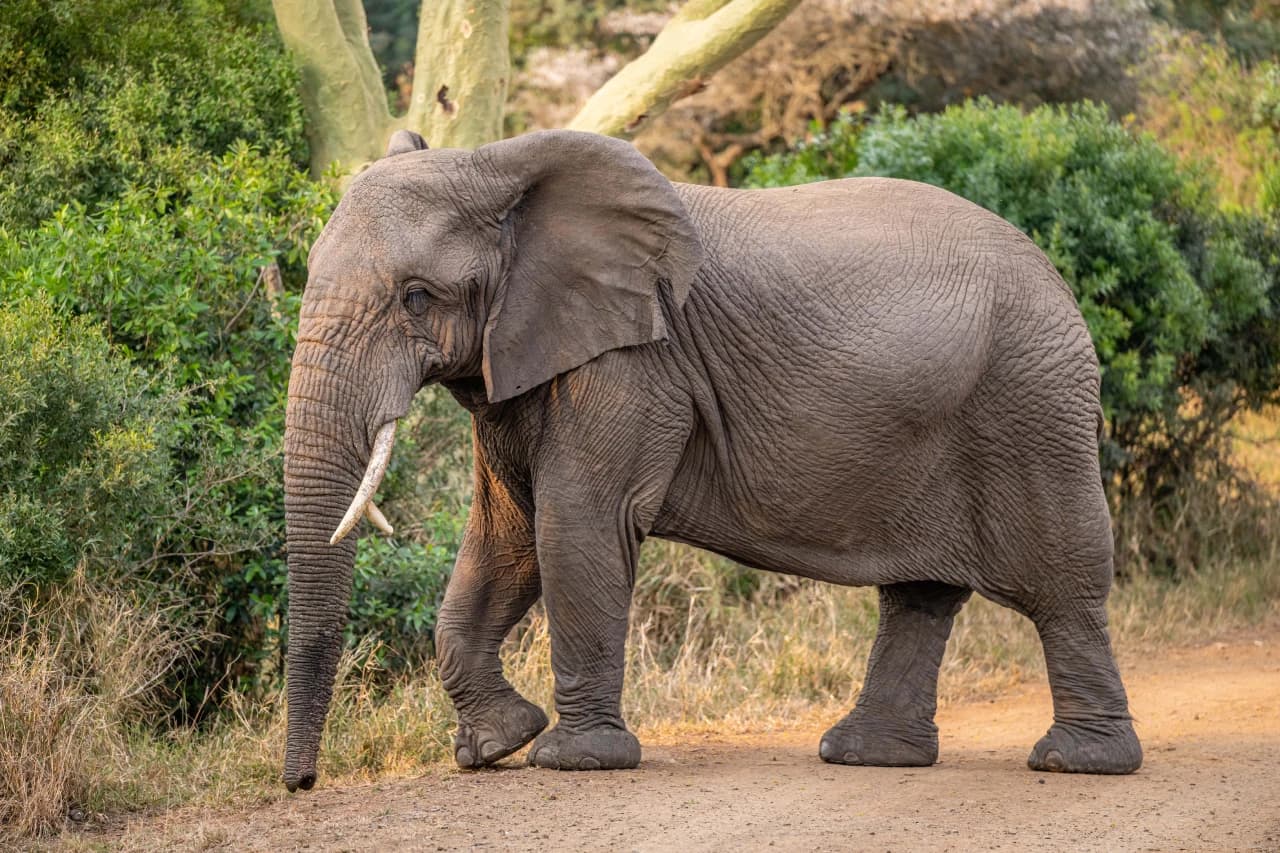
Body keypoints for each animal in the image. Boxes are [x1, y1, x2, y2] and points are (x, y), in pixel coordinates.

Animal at [281, 127, 1143, 792]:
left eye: (416, 297)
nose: (302, 782)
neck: (499, 165)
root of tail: (1061, 281)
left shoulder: (635, 362)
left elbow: (576, 524)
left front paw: (573, 759)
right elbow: (505, 539)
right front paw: (496, 745)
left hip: (1030, 405)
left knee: (1061, 582)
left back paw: (1078, 762)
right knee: (921, 592)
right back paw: (866, 754)